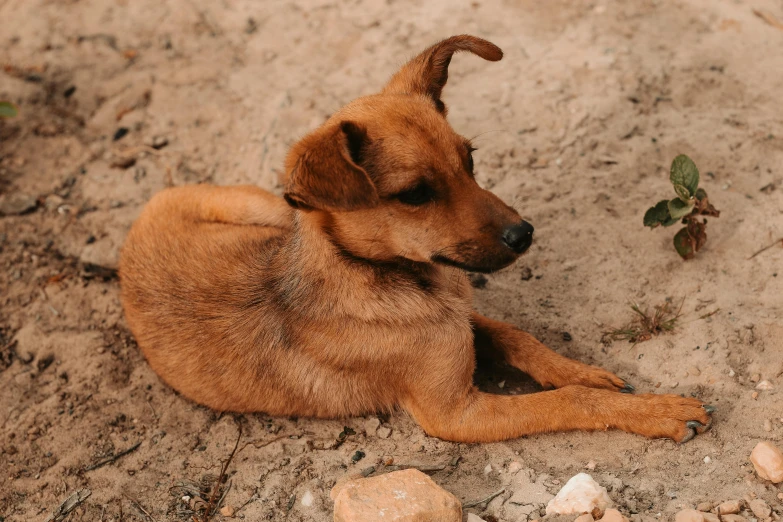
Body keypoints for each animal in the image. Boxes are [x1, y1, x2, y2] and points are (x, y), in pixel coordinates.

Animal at [119, 35, 712, 438]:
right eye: (414, 194)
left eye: (470, 160)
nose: (523, 234)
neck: (385, 275)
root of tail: (135, 228)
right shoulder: (458, 414)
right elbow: (566, 403)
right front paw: (654, 411)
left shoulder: (462, 318)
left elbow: (518, 337)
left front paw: (586, 373)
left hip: (270, 209)